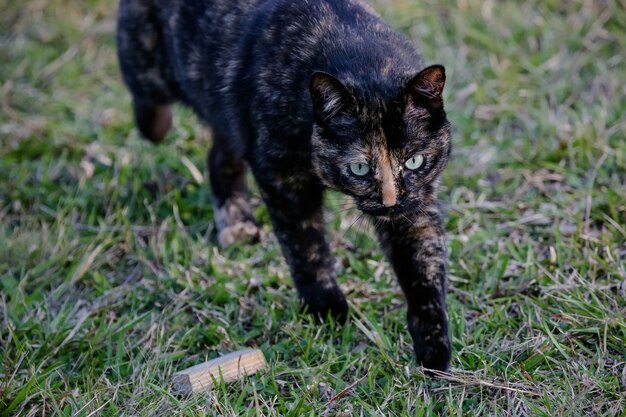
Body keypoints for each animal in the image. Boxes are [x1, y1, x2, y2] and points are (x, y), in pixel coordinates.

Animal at [116, 0, 448, 370]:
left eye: (414, 161)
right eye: (360, 168)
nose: (390, 202)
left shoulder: (416, 202)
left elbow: (423, 264)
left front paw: (434, 346)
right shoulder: (282, 178)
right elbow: (306, 246)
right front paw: (326, 307)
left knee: (219, 158)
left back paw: (237, 223)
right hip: (148, 70)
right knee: (150, 112)